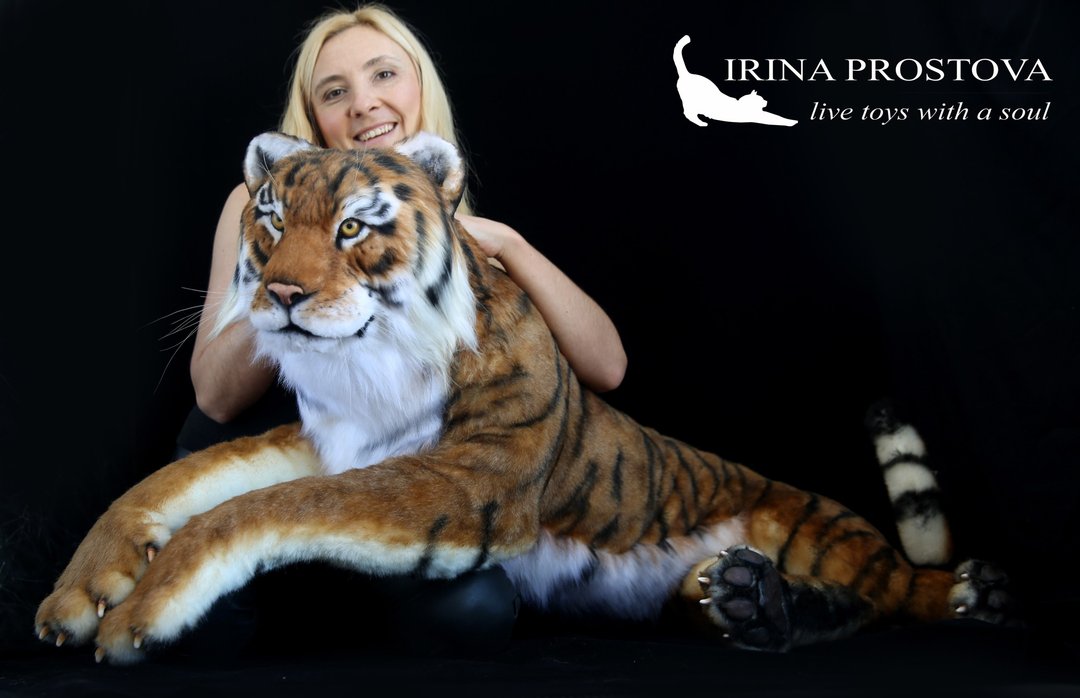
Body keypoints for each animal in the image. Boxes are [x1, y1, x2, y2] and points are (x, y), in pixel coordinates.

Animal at [35, 131, 1009, 664]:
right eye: (270, 219)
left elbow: (266, 509)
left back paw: (945, 595)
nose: (279, 294)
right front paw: (76, 596)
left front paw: (143, 611)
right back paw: (737, 595)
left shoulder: (472, 480)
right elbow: (177, 483)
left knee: (897, 598)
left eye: (351, 227)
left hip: (820, 529)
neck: (370, 367)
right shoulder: (324, 439)